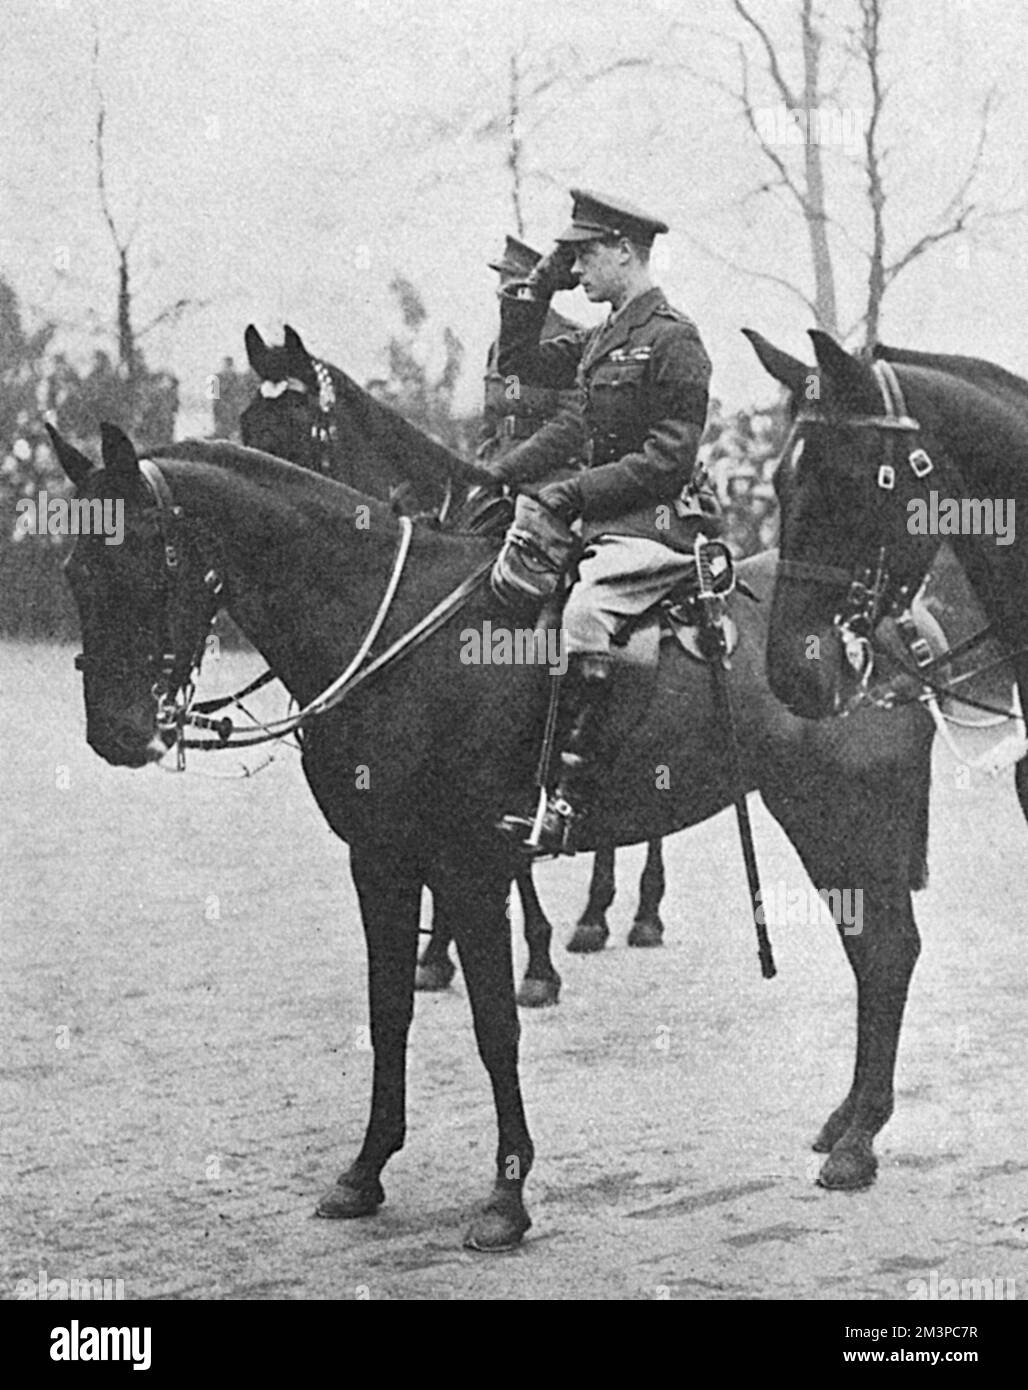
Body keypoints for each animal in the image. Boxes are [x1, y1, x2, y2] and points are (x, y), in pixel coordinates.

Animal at [52, 425, 933, 1251]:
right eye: (74, 570)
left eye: (144, 557)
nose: (117, 734)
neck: (394, 630)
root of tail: (879, 624)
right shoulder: (380, 861)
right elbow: (388, 1013)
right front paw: (365, 1171)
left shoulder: (469, 869)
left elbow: (494, 1027)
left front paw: (507, 1196)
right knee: (874, 954)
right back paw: (848, 1121)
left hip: (840, 818)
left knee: (888, 953)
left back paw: (856, 1143)